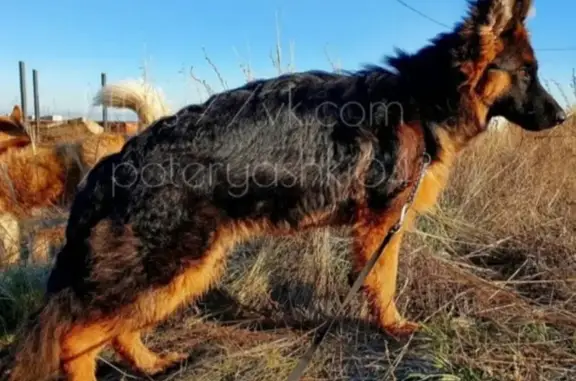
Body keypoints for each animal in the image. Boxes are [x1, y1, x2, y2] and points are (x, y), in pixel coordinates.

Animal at [7, 0, 568, 380]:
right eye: (528, 74)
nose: (563, 117)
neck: (423, 98)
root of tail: (115, 162)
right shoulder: (384, 224)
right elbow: (383, 283)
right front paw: (393, 327)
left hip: (181, 268)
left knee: (116, 326)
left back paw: (151, 362)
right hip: (173, 262)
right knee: (75, 337)